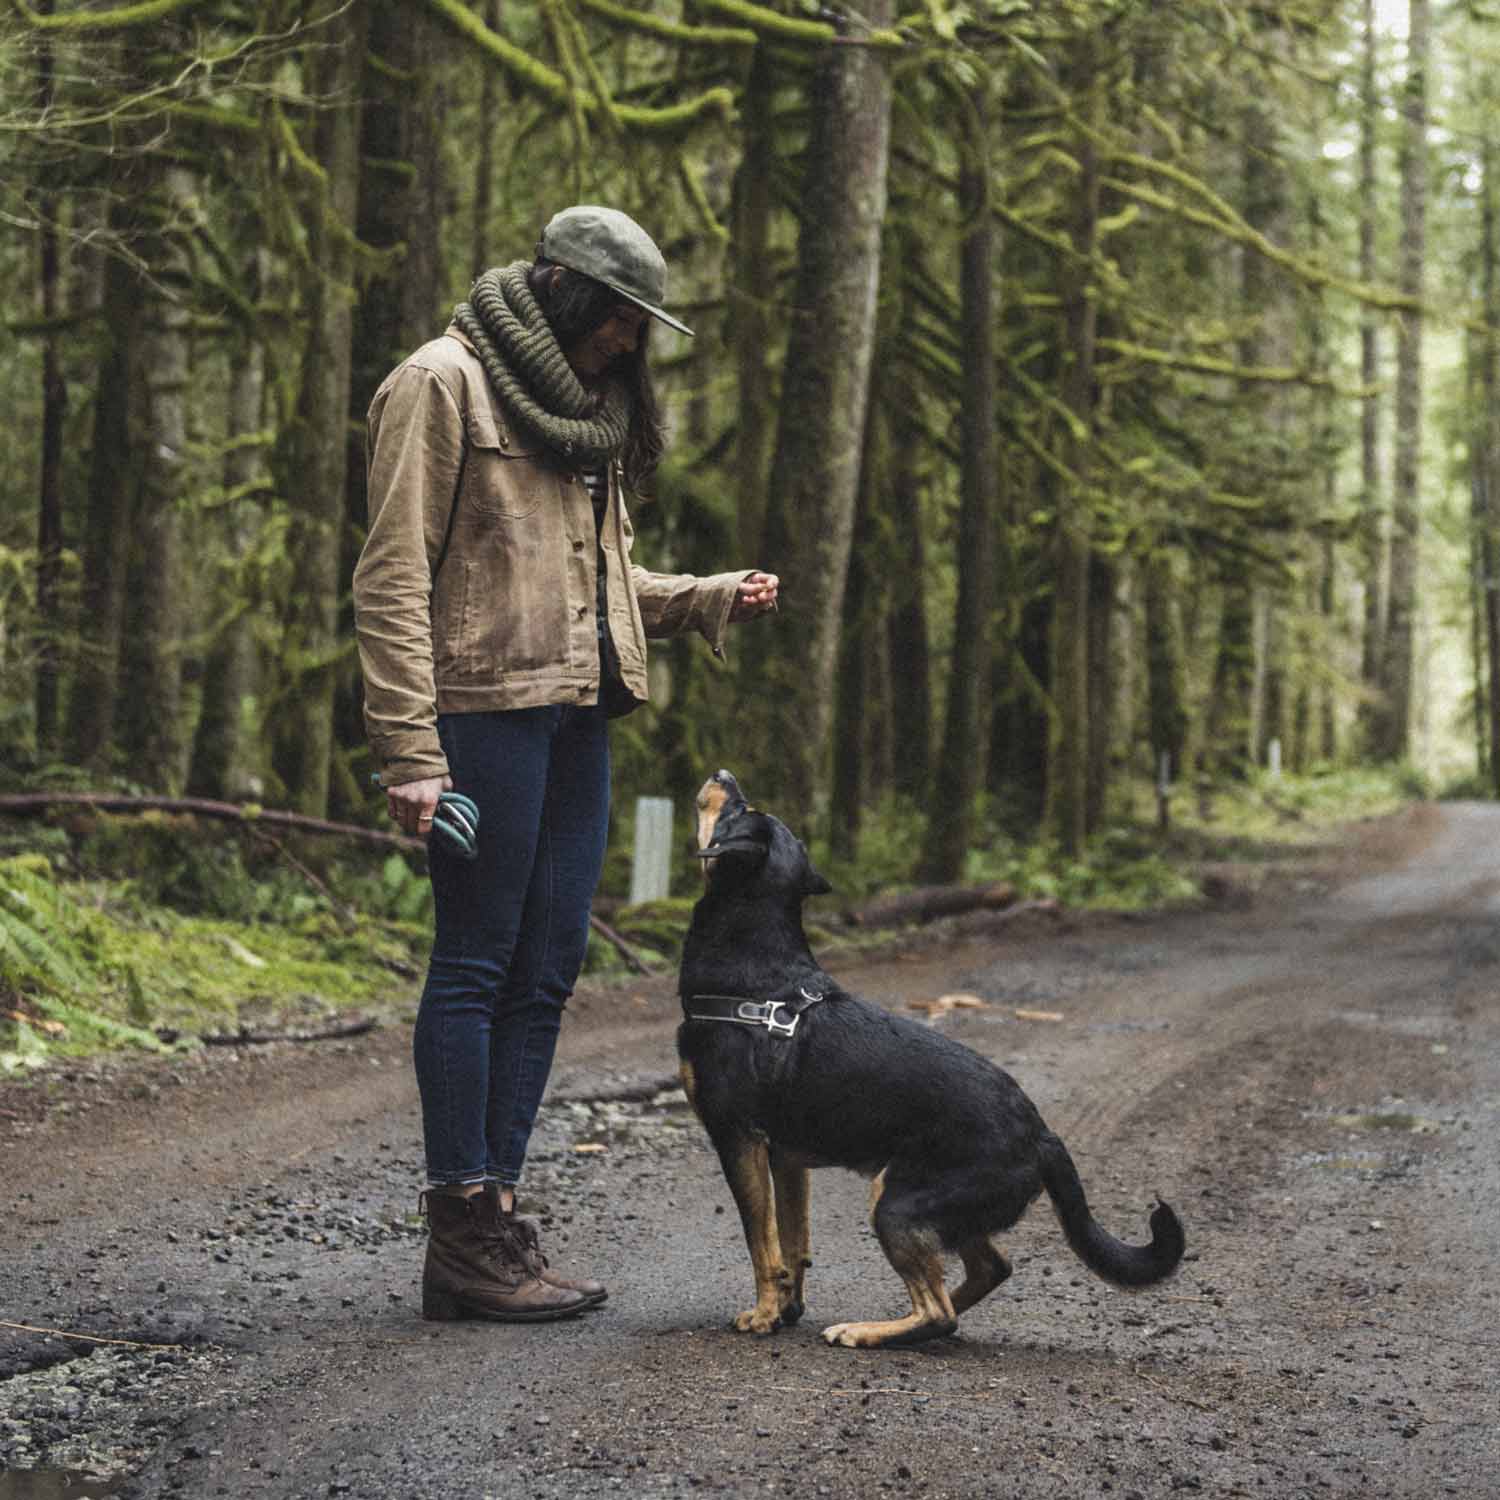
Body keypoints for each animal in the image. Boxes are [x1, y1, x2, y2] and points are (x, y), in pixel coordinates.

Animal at [681, 774, 1182, 1350]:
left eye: (739, 810)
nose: (723, 776)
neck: (755, 968)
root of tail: (1041, 1134)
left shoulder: (738, 1139)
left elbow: (760, 1242)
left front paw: (763, 1316)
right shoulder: (786, 1158)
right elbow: (793, 1242)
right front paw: (786, 1308)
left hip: (897, 1202)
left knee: (939, 1309)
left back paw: (868, 1331)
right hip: (945, 1212)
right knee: (987, 1272)